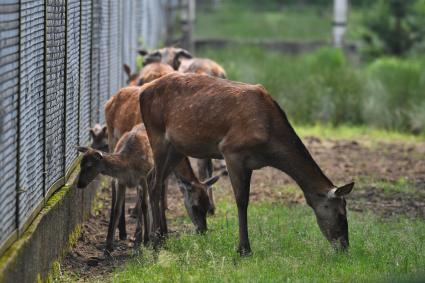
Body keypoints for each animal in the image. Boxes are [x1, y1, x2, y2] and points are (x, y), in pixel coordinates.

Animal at [139, 72, 354, 258]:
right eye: (341, 215)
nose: (344, 247)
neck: (270, 144)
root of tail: (142, 91)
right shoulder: (232, 151)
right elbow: (241, 200)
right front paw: (244, 250)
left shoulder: (250, 163)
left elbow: (246, 199)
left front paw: (244, 248)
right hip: (157, 135)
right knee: (155, 182)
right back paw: (156, 241)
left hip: (176, 148)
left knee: (152, 177)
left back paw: (160, 238)